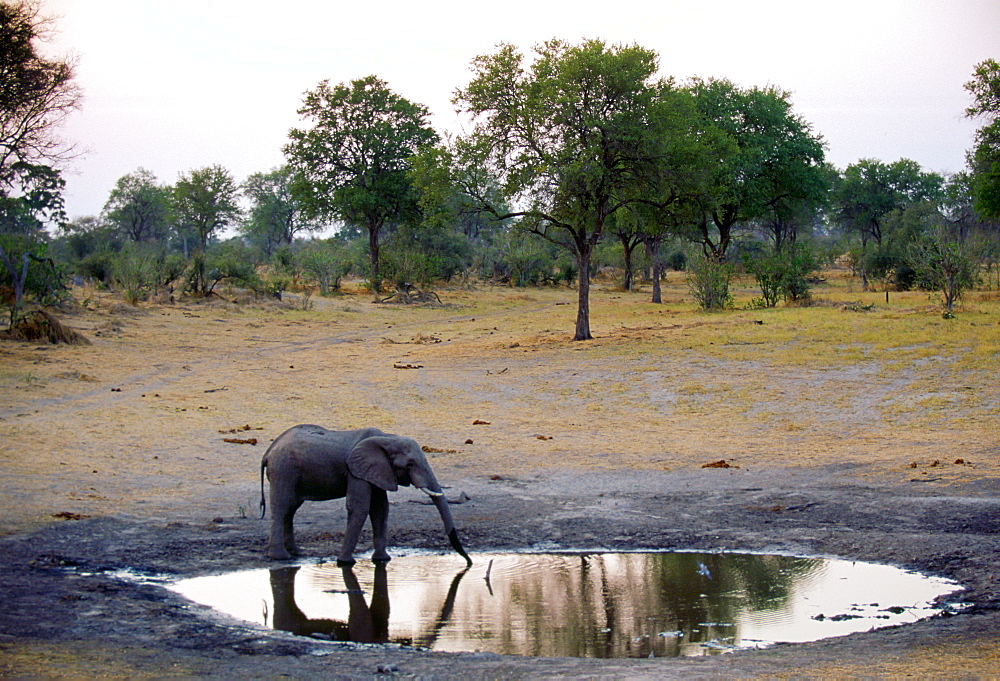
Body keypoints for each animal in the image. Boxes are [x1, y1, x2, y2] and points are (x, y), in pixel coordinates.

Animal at [262, 422, 472, 564]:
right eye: (410, 464)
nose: (468, 562)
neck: (387, 439)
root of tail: (269, 450)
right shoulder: (356, 471)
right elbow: (360, 507)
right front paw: (345, 562)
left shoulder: (378, 470)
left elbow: (380, 508)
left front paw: (382, 560)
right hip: (284, 468)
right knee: (282, 506)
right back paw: (280, 557)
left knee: (290, 509)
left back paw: (295, 553)